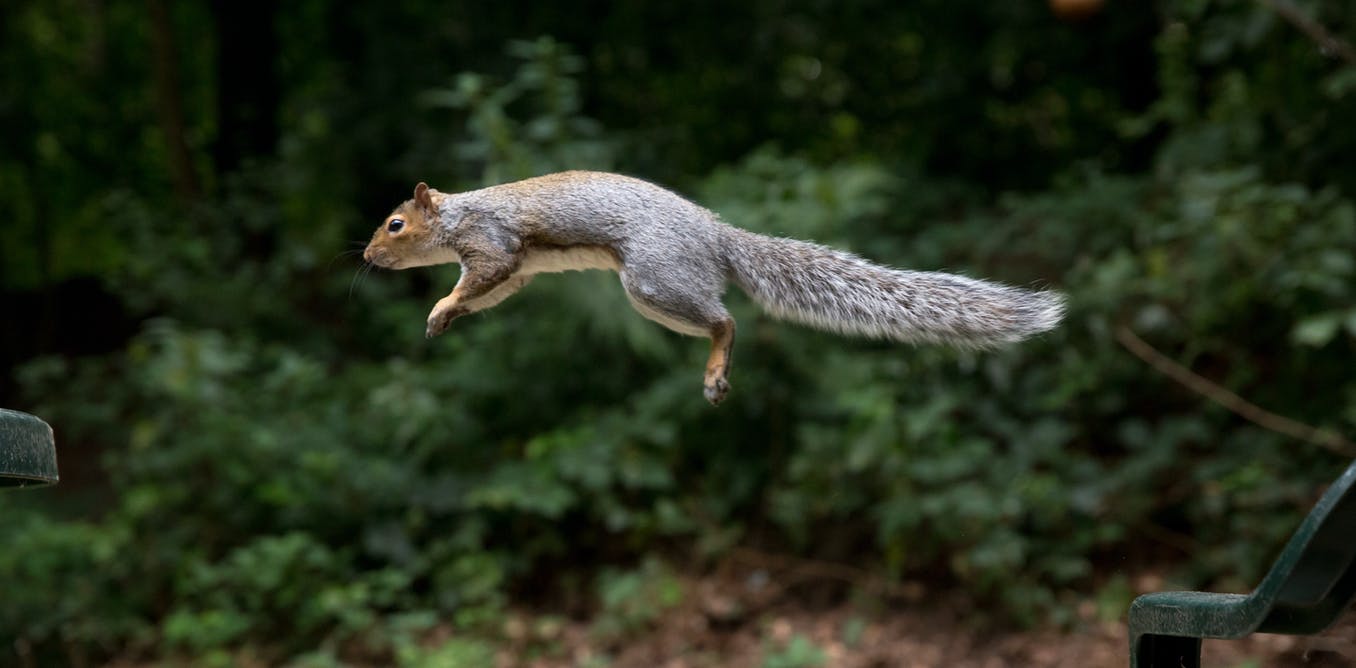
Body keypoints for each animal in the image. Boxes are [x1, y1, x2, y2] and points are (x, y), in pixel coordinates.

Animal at [366, 169, 1063, 403]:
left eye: (396, 224)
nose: (369, 256)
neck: (457, 215)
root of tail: (716, 235)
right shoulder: (514, 269)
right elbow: (494, 290)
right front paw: (445, 315)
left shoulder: (492, 241)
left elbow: (481, 275)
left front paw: (441, 304)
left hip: (652, 282)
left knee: (726, 321)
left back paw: (715, 369)